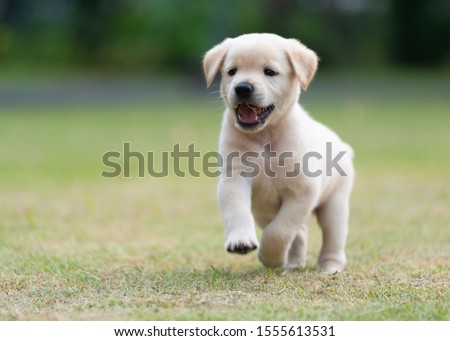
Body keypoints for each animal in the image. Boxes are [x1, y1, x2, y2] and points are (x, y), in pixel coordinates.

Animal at [202, 33, 354, 272]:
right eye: (232, 71)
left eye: (270, 72)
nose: (242, 88)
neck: (266, 136)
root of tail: (343, 146)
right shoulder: (234, 178)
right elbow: (237, 210)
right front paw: (241, 241)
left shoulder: (302, 192)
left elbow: (280, 231)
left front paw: (270, 258)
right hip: (262, 212)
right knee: (300, 233)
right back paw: (293, 263)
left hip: (335, 204)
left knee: (332, 238)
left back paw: (330, 268)